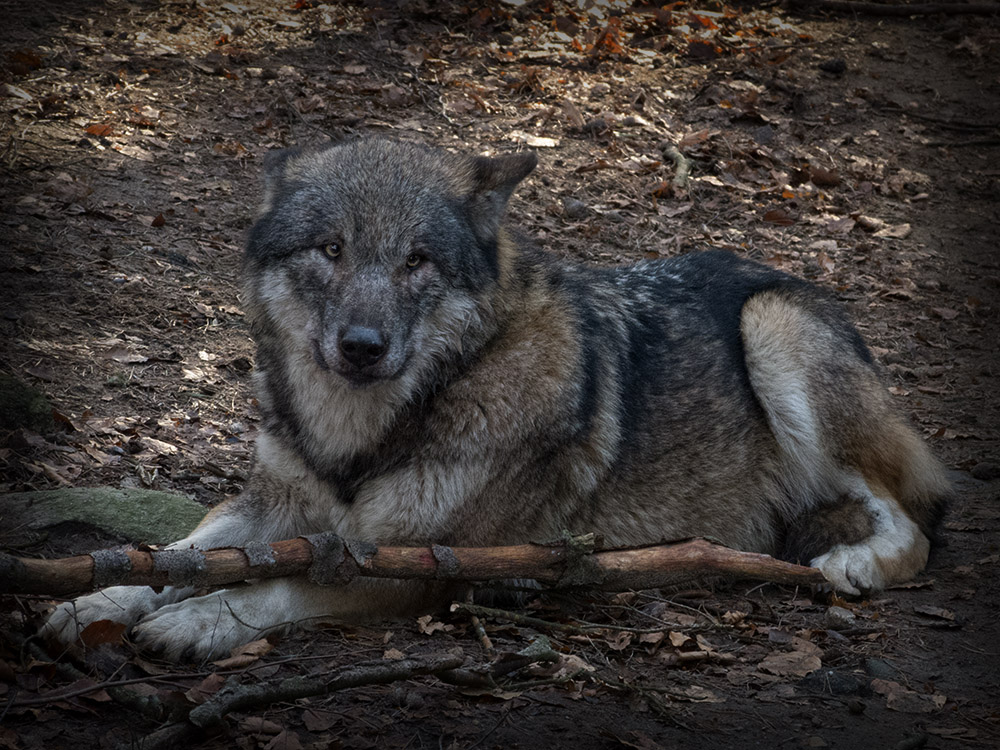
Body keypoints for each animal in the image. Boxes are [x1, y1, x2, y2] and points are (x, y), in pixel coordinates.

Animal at [43, 138, 948, 660]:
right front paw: (94, 598)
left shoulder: (418, 567)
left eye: (417, 261)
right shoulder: (273, 507)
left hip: (774, 331)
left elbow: (268, 590)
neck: (360, 438)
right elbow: (177, 555)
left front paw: (194, 623)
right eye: (331, 249)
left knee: (921, 519)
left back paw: (856, 564)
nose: (362, 347)